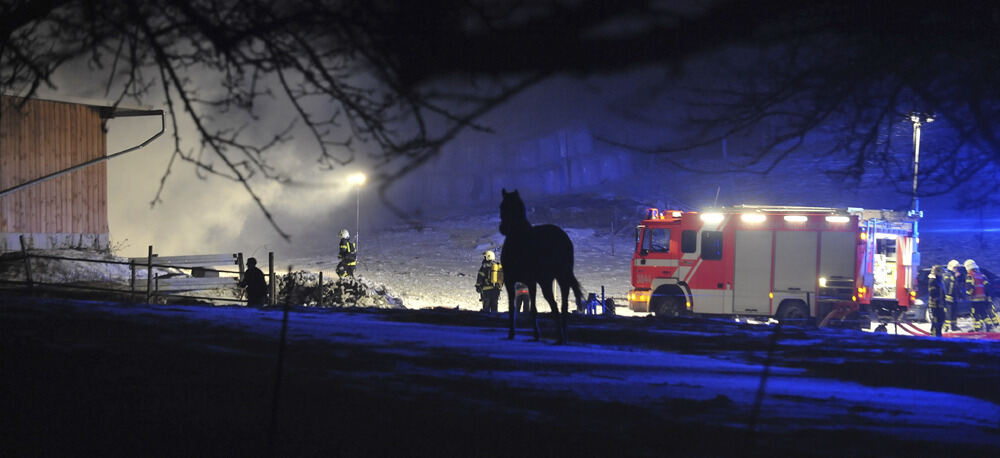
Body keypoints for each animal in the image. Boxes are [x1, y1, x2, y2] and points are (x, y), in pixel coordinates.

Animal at [498, 188, 584, 342]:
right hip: (557, 279)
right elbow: (525, 309)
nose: (502, 228)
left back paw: (561, 337)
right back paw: (564, 336)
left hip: (550, 280)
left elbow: (520, 309)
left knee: (556, 306)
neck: (518, 237)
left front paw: (515, 333)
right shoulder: (524, 282)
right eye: (502, 207)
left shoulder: (517, 281)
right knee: (562, 306)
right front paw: (532, 334)